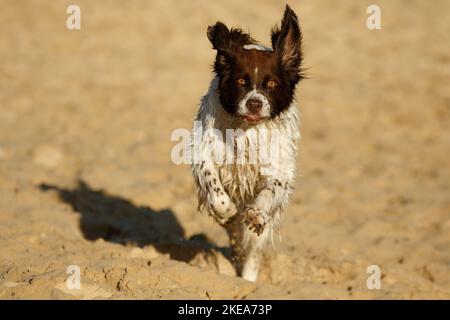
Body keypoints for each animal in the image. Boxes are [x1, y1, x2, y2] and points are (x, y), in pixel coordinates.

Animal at [190, 4, 302, 280]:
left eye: (271, 83)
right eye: (241, 81)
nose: (254, 103)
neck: (246, 129)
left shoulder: (279, 169)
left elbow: (270, 191)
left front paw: (257, 213)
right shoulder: (202, 153)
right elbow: (214, 188)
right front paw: (226, 211)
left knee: (252, 250)